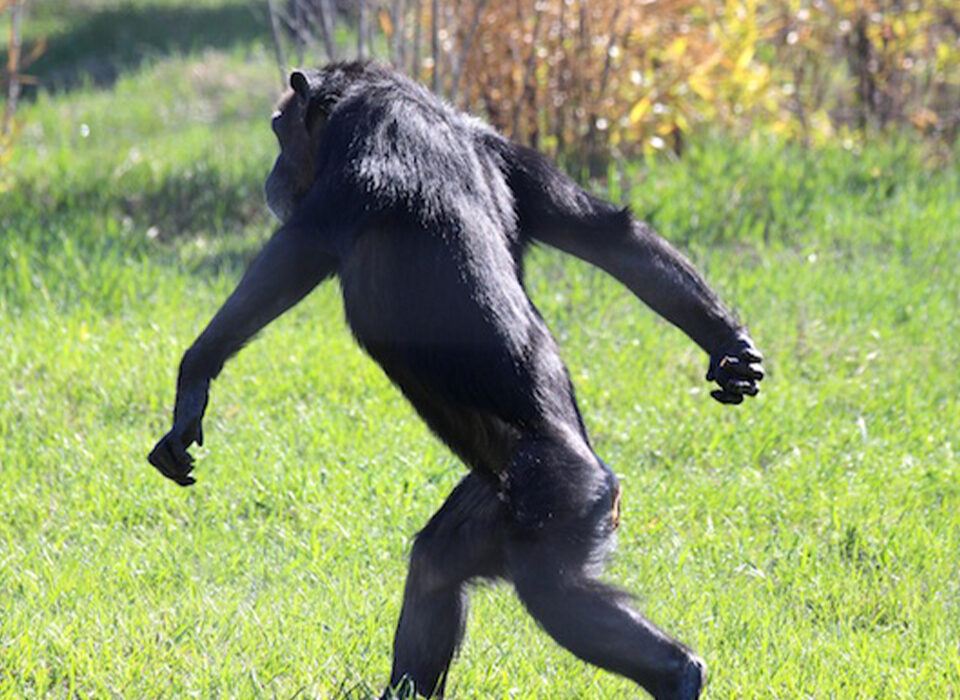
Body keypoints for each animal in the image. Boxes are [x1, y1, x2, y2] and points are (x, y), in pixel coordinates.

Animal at [148, 62, 764, 699]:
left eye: (278, 128)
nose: (273, 169)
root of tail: (604, 476)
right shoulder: (514, 156)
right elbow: (607, 235)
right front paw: (730, 347)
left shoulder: (363, 145)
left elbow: (294, 254)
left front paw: (193, 379)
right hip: (497, 503)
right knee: (436, 568)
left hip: (560, 500)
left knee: (555, 592)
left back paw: (679, 673)